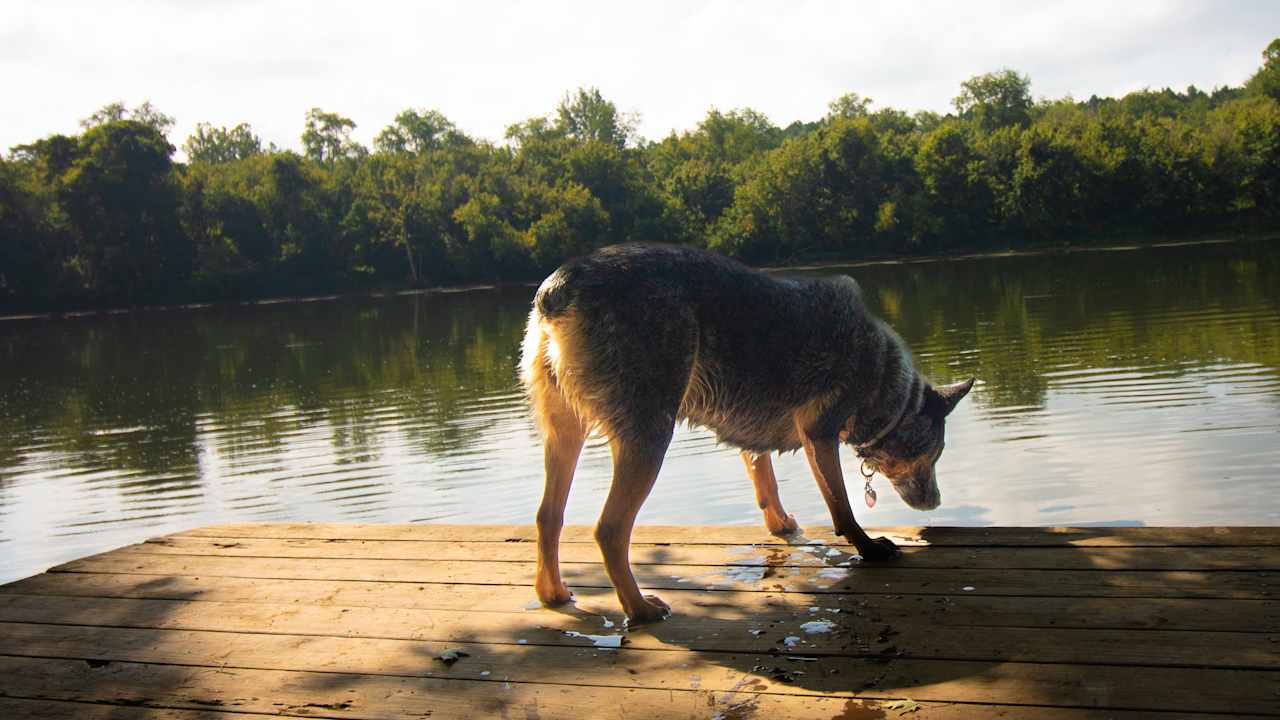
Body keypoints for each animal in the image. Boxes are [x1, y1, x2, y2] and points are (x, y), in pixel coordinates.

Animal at [519, 242, 967, 622]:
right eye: (934, 454)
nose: (936, 502)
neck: (884, 379)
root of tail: (560, 288)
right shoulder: (820, 435)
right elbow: (841, 506)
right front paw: (868, 548)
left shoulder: (754, 437)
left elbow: (765, 481)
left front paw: (782, 526)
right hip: (648, 437)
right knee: (610, 530)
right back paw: (640, 608)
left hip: (565, 435)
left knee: (547, 516)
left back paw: (554, 594)